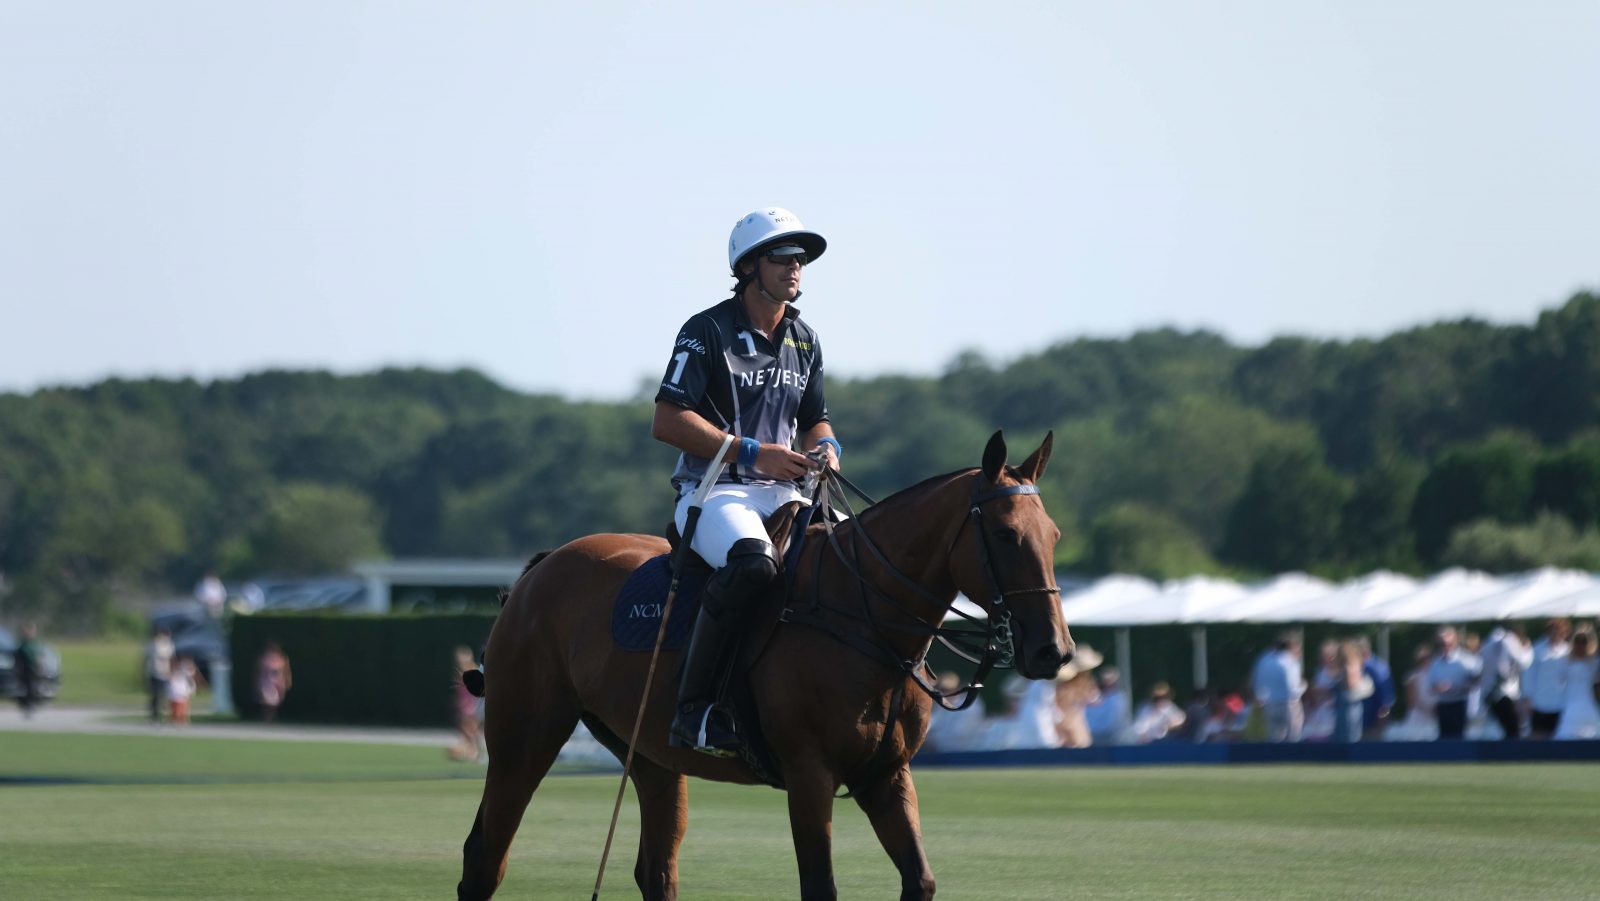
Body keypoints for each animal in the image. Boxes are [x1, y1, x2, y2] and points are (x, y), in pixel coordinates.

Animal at [457, 432, 1068, 896]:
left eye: (1054, 535)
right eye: (1005, 534)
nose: (1053, 650)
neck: (862, 614)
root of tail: (538, 570)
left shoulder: (886, 776)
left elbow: (919, 880)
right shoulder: (809, 773)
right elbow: (820, 886)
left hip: (649, 752)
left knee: (656, 869)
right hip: (524, 737)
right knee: (485, 856)